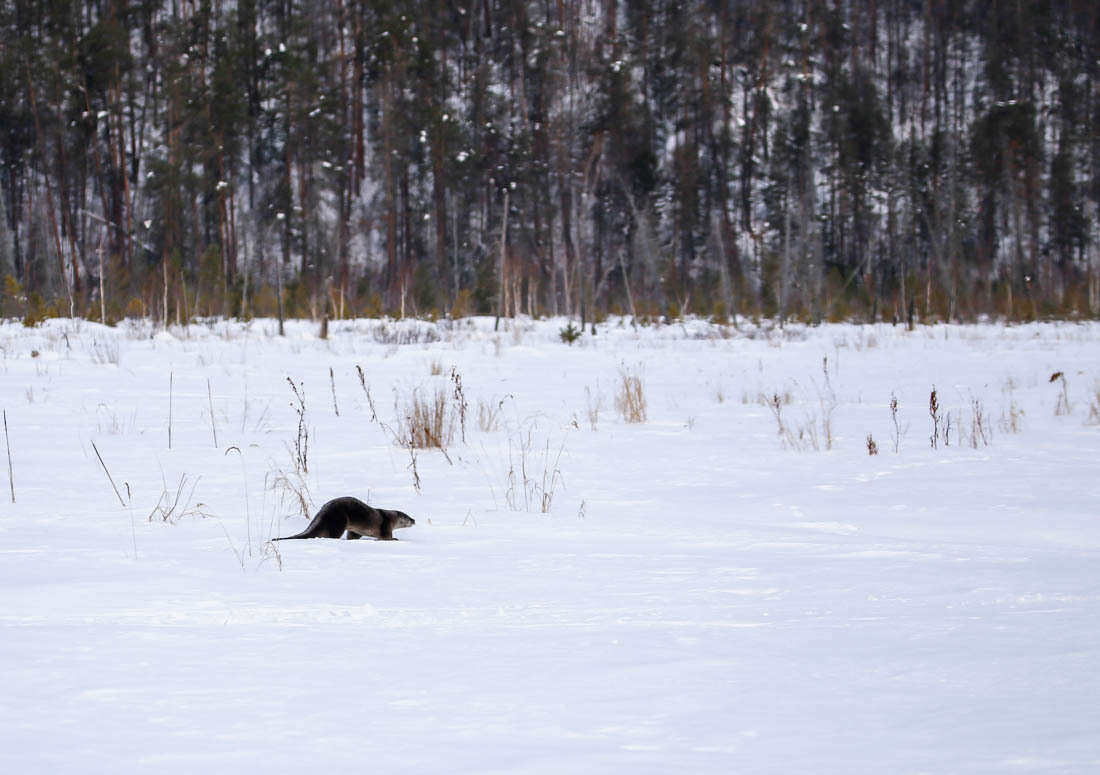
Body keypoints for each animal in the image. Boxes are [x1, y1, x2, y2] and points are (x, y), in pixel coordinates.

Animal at [272, 496, 413, 538]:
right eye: (408, 517)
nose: (414, 520)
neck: (390, 517)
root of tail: (323, 513)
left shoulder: (356, 531)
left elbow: (353, 536)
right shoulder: (385, 525)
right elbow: (386, 538)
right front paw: (396, 539)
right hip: (338, 521)